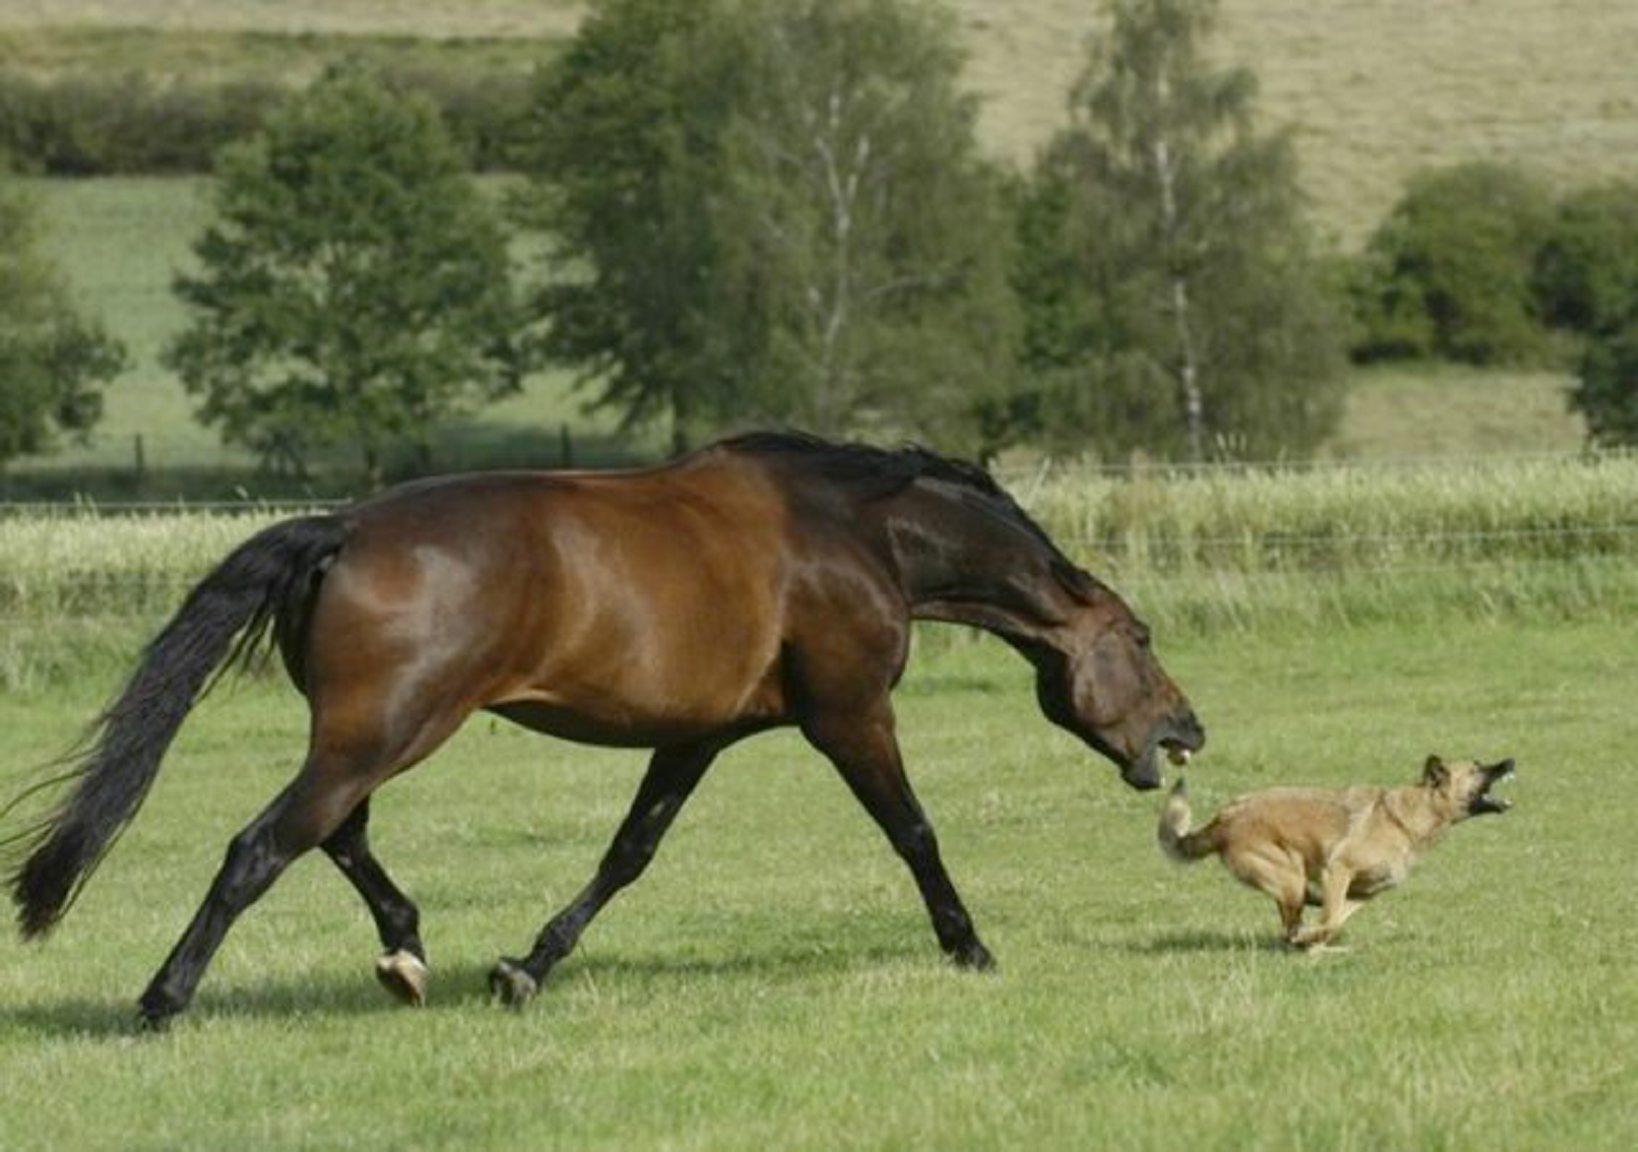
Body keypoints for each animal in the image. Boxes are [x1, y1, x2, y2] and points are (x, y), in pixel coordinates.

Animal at [3, 432, 1205, 1029]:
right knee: (263, 846)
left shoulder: (698, 736)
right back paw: (163, 1002)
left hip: (369, 734)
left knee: (335, 836)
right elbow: (913, 833)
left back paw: (408, 954)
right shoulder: (849, 714)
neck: (857, 531)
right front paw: (970, 947)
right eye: (1141, 636)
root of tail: (339, 529)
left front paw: (524, 970)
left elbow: (630, 852)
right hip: (386, 731)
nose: (1187, 730)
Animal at [1159, 757, 1513, 943]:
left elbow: (1335, 921)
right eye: (1477, 769)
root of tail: (1225, 817)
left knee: (1291, 916)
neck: (1406, 819)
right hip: (1290, 875)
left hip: (1291, 877)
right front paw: (1312, 941)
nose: (1510, 760)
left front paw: (1316, 938)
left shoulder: (1364, 892)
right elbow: (1328, 921)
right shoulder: (1337, 871)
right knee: (1290, 923)